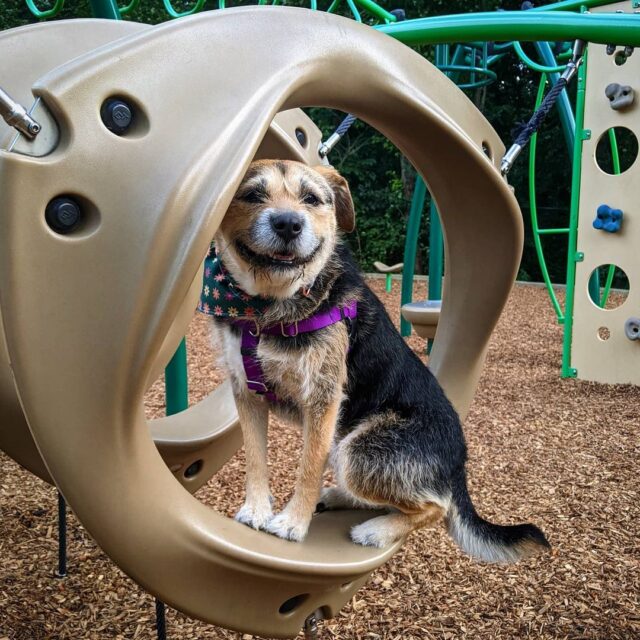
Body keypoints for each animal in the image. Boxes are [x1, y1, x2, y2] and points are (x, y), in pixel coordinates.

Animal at [202, 159, 552, 560]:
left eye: (311, 198)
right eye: (252, 195)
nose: (288, 224)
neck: (267, 308)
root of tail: (457, 466)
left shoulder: (322, 399)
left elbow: (308, 466)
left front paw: (292, 523)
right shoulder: (247, 392)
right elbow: (255, 458)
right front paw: (257, 510)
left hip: (358, 449)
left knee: (436, 506)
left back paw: (378, 529)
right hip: (345, 442)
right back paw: (339, 496)